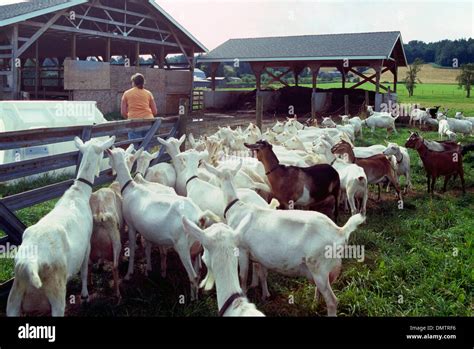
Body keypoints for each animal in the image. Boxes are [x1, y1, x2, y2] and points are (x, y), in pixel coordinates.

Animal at [7, 136, 115, 316]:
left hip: (14, 298)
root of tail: (30, 265)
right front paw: (85, 295)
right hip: (56, 293)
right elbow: (84, 270)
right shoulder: (86, 245)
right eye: (102, 152)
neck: (77, 193)